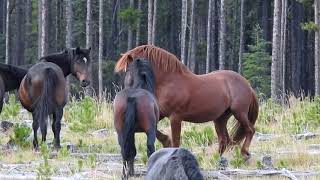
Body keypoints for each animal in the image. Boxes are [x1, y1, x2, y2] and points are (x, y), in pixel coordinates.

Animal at [115, 44, 260, 159]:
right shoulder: (160, 114)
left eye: (127, 70)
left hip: (239, 112)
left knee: (250, 130)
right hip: (220, 118)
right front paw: (166, 141)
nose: (126, 91)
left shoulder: (175, 118)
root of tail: (247, 85)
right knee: (224, 140)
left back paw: (245, 152)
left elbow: (176, 140)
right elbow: (155, 130)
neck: (169, 82)